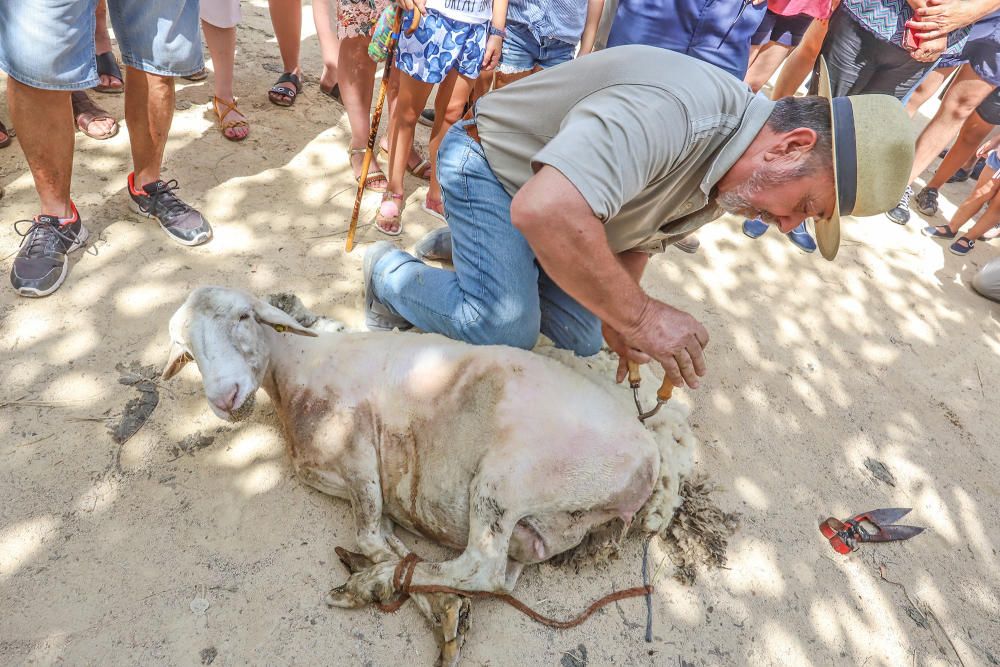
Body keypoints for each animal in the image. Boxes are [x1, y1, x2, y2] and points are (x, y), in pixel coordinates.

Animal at [164, 288, 704, 667]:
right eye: (186, 347)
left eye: (244, 317)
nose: (225, 397)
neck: (295, 367)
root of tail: (649, 456)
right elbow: (384, 539)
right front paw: (442, 613)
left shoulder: (359, 448)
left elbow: (369, 535)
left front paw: (392, 585)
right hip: (540, 530)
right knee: (499, 577)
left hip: (507, 479)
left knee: (480, 566)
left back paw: (371, 585)